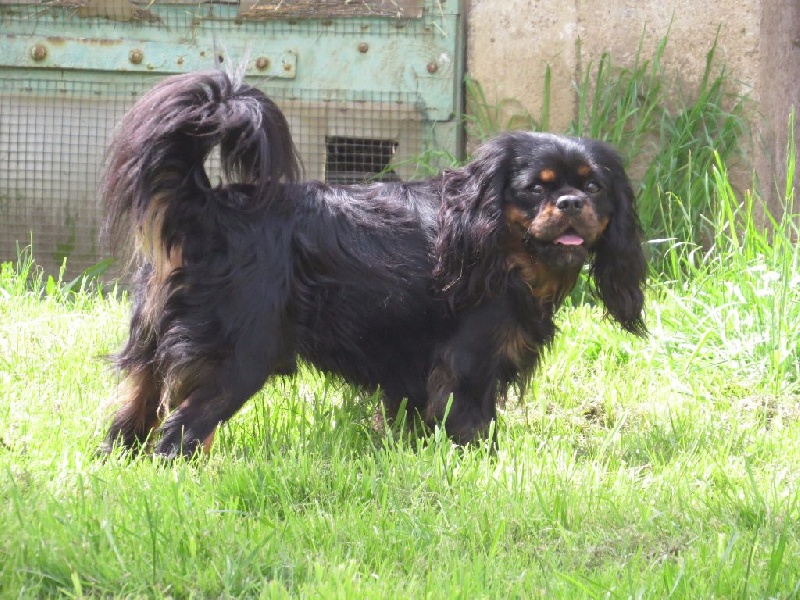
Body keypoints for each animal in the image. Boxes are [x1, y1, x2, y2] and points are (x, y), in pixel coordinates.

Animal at [100, 69, 648, 454]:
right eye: (537, 188)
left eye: (594, 187)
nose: (572, 203)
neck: (497, 242)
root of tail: (207, 209)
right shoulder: (468, 362)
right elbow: (472, 425)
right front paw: (482, 468)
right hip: (239, 357)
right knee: (180, 433)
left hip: (153, 350)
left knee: (129, 423)